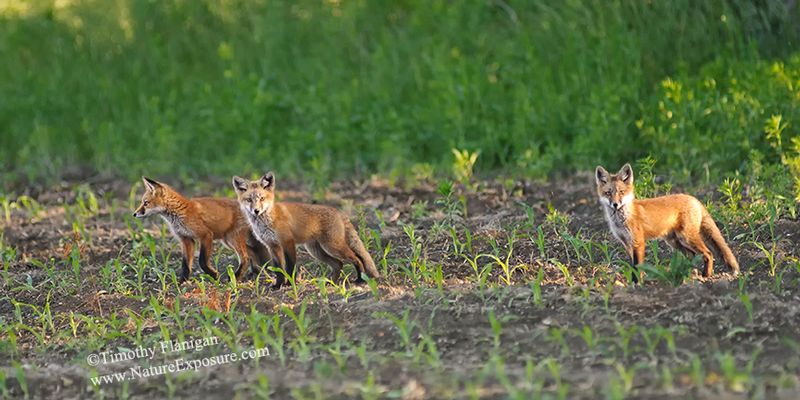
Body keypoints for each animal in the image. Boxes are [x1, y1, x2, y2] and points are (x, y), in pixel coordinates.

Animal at [133, 177, 271, 283]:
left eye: (145, 203)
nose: (134, 214)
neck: (180, 212)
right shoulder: (186, 239)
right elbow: (185, 265)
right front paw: (181, 282)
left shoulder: (206, 235)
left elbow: (202, 261)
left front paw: (214, 275)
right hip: (228, 241)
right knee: (252, 253)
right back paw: (254, 273)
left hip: (233, 239)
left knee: (245, 258)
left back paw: (236, 278)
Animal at [232, 172, 380, 287]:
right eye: (249, 200)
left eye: (262, 199)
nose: (256, 211)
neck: (267, 219)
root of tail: (337, 211)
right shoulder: (272, 246)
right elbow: (279, 269)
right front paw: (278, 285)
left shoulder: (287, 242)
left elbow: (290, 267)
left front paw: (290, 284)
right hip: (316, 251)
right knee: (338, 264)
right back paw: (331, 283)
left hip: (332, 246)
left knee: (357, 258)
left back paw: (360, 279)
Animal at [595, 163, 739, 283]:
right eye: (608, 193)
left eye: (621, 192)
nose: (615, 204)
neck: (621, 219)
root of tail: (694, 198)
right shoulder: (626, 243)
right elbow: (633, 265)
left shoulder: (638, 242)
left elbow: (637, 266)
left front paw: (637, 283)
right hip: (675, 242)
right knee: (691, 255)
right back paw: (689, 275)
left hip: (686, 237)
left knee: (708, 253)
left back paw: (705, 276)